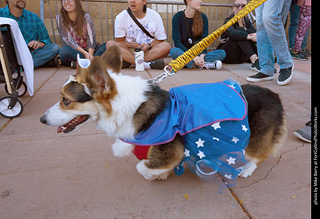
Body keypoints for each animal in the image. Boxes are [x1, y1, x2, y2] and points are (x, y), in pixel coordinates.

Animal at [40, 45, 288, 183]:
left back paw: (246, 169)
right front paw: (162, 174)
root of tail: (275, 95)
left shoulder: (169, 151)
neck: (129, 108)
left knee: (259, 156)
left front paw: (157, 174)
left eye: (65, 100)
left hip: (254, 142)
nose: (41, 120)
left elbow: (142, 167)